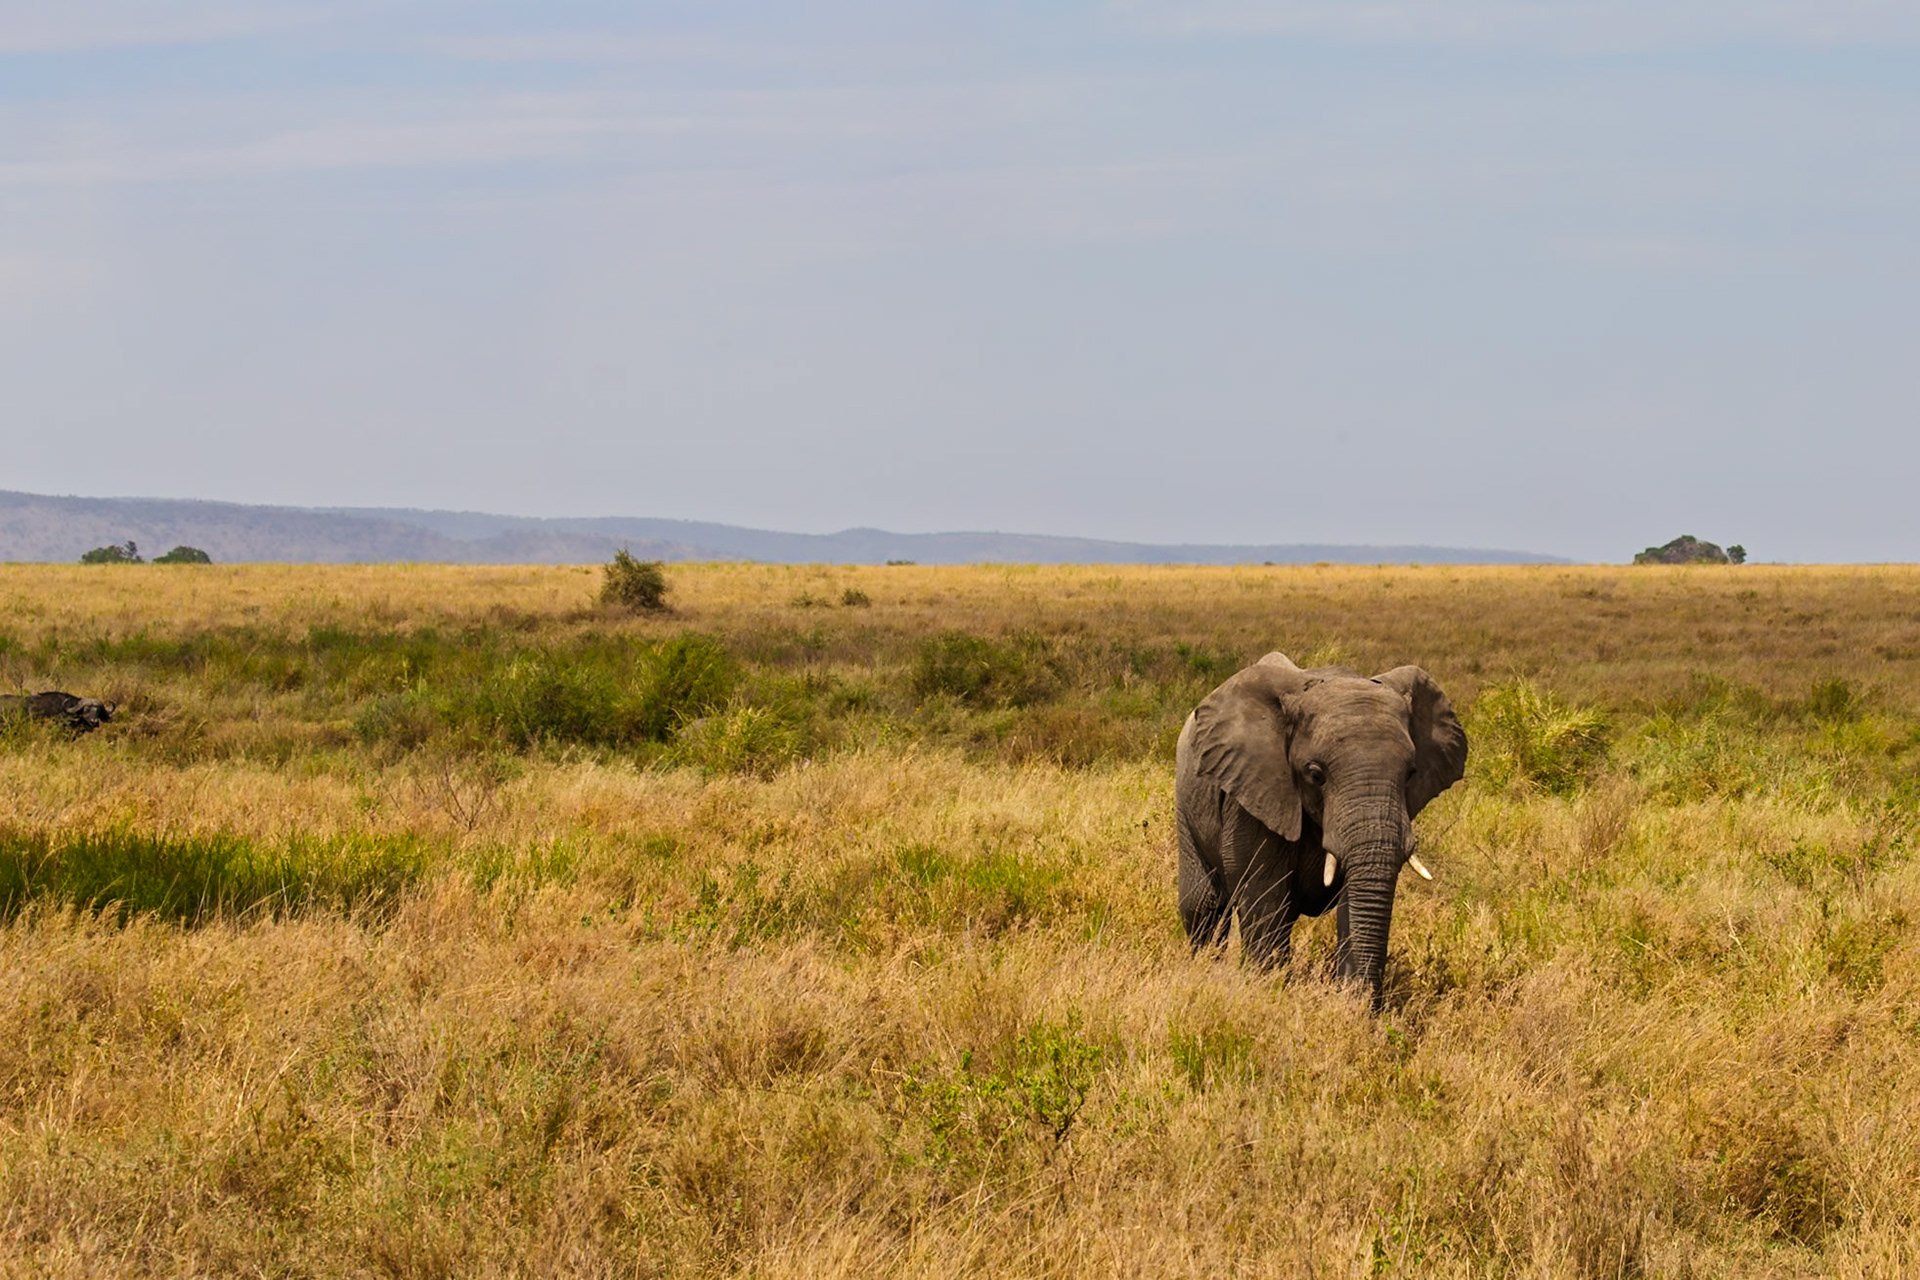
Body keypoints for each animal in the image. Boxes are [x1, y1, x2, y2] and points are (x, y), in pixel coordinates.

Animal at [1174, 652, 1467, 1009]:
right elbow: (1264, 893)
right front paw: (1269, 993)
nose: (1369, 1007)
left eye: (1411, 773)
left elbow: (1352, 900)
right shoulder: (1252, 794)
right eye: (1315, 774)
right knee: (1203, 907)